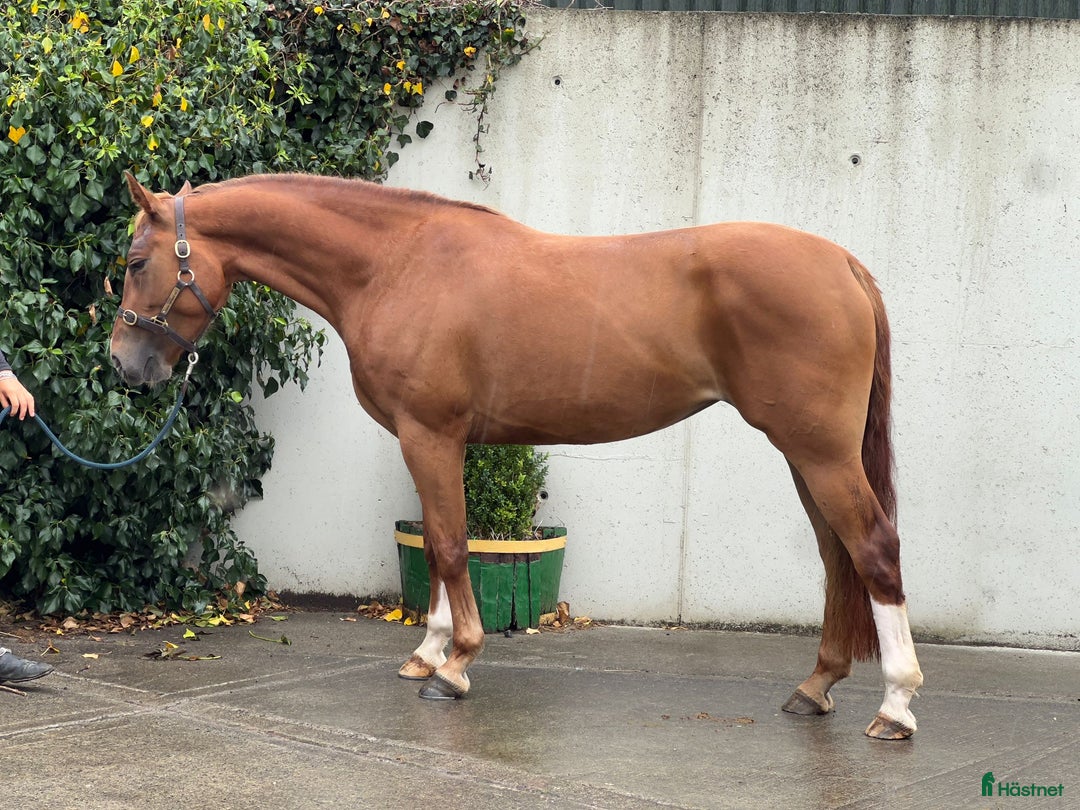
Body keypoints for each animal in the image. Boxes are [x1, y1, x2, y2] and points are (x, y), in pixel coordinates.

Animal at [109, 171, 923, 740]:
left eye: (138, 260)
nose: (125, 365)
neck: (396, 264)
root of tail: (843, 264)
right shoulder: (431, 440)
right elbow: (442, 541)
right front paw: (430, 651)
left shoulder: (429, 433)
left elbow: (447, 543)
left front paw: (456, 666)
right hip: (804, 454)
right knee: (836, 558)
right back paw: (816, 687)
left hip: (819, 451)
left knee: (873, 548)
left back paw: (895, 705)